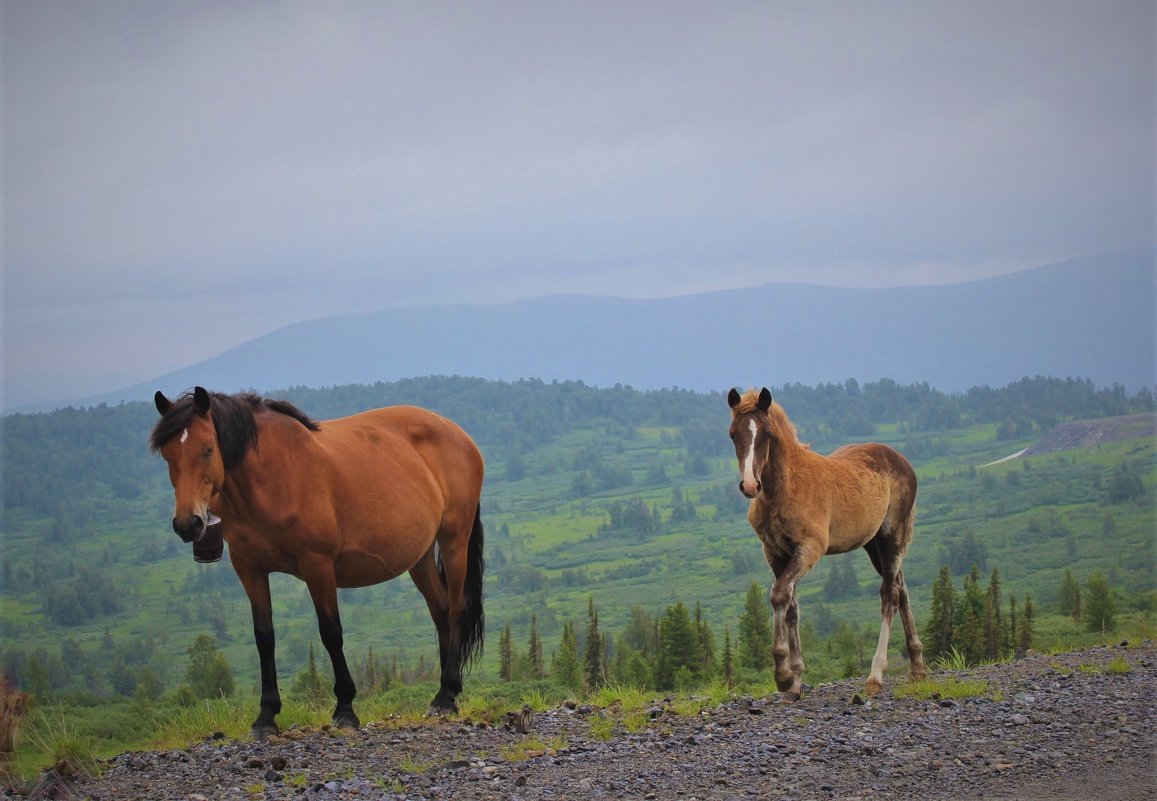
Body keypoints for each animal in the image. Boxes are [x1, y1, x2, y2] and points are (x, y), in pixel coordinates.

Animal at [150, 388, 483, 736]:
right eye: (168, 456)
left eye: (208, 449)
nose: (188, 524)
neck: (271, 478)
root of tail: (458, 433)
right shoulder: (250, 569)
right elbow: (264, 636)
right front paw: (266, 716)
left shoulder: (317, 566)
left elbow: (330, 632)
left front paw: (345, 709)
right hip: (419, 556)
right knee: (440, 610)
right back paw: (444, 694)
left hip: (454, 540)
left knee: (456, 608)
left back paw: (446, 695)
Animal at [726, 386, 925, 694]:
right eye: (733, 434)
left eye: (767, 434)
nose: (750, 485)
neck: (785, 488)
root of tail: (900, 459)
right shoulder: (775, 552)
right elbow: (791, 607)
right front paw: (795, 682)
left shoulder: (810, 548)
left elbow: (779, 594)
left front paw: (783, 675)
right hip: (874, 543)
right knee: (900, 587)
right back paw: (917, 668)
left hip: (893, 534)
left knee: (889, 594)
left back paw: (875, 676)